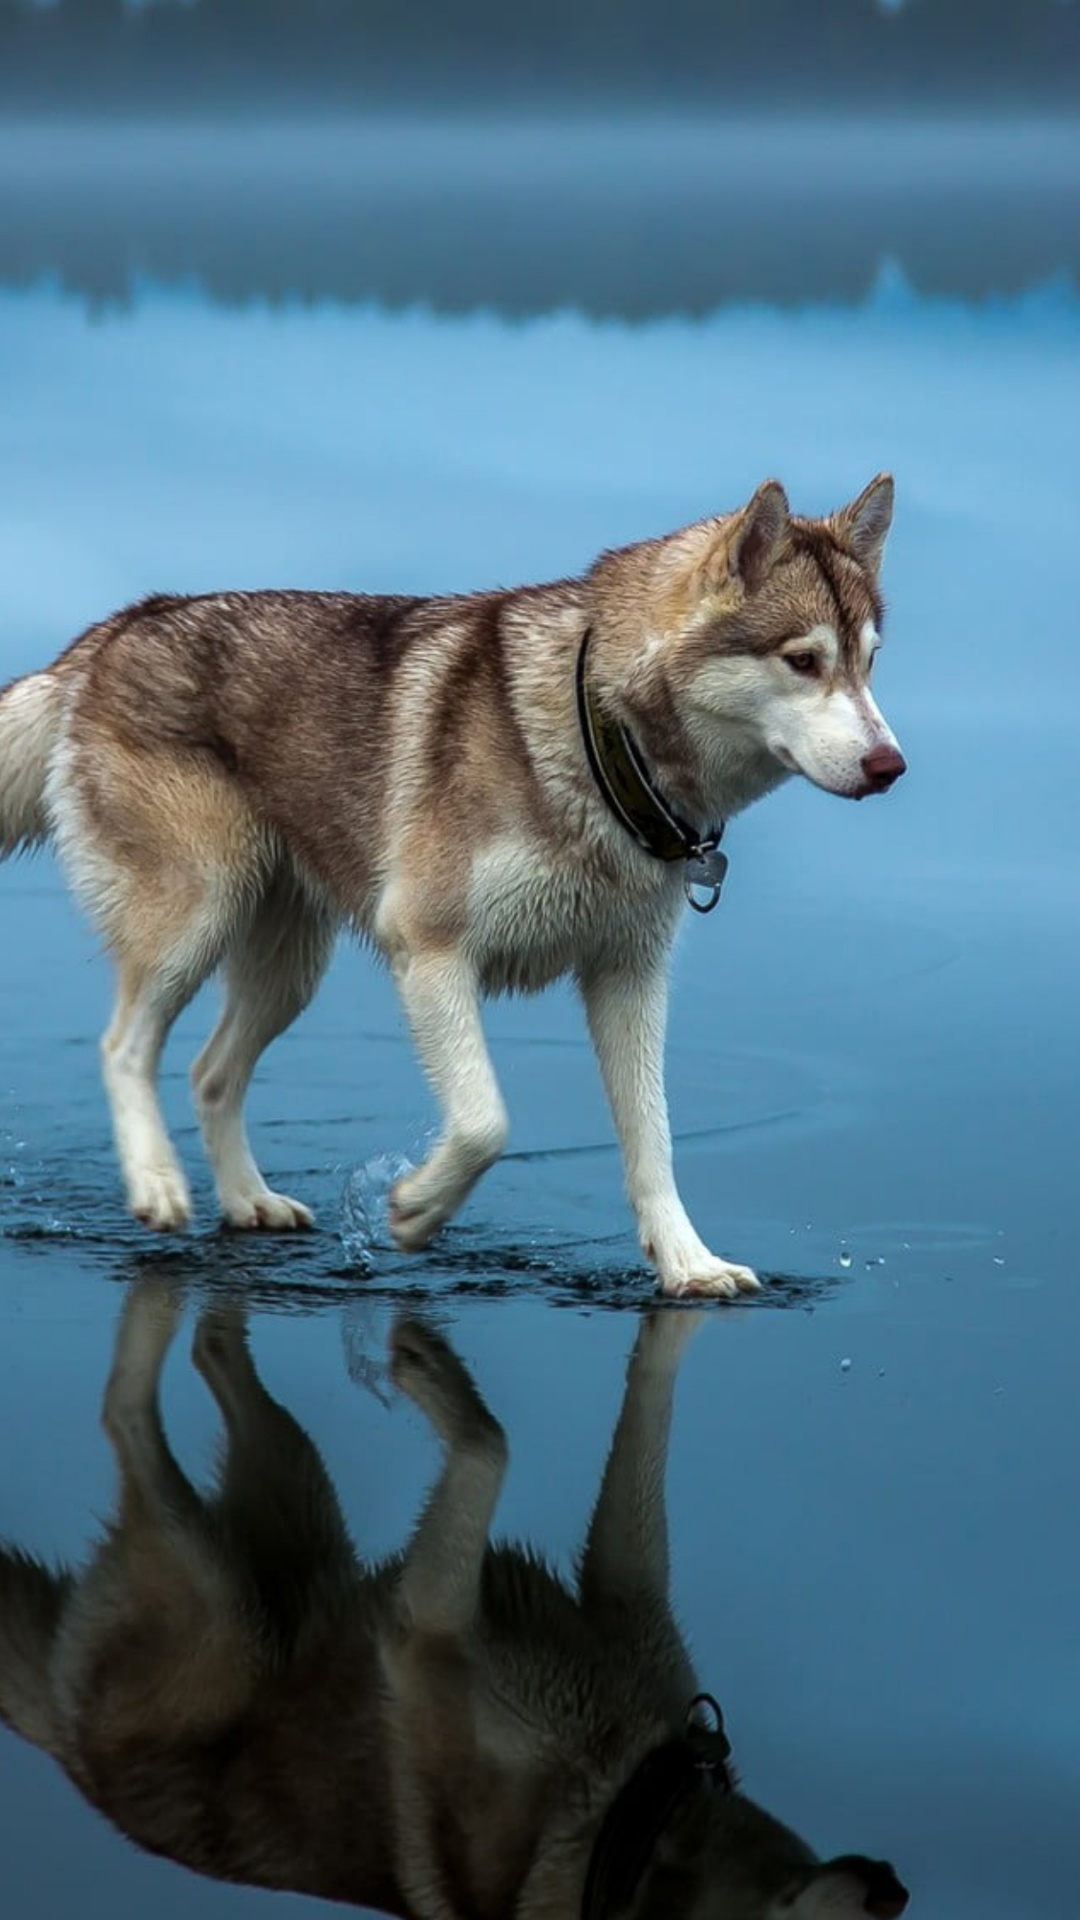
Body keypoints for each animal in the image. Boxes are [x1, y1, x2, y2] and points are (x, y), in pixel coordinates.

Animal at [0, 478, 899, 1290]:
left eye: (869, 664)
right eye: (803, 661)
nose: (891, 766)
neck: (601, 740)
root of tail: (118, 625)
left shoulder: (629, 977)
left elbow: (654, 1141)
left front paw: (688, 1265)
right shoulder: (430, 952)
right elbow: (484, 1123)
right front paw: (416, 1209)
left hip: (289, 968)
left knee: (210, 1074)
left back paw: (249, 1200)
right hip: (195, 919)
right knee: (124, 1047)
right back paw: (157, 1185)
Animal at [0, 1290, 907, 1920]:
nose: (895, 1890)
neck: (631, 1815)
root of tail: (65, 1753)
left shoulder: (614, 1592)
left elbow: (641, 1411)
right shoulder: (428, 1622)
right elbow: (492, 1444)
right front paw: (432, 1373)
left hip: (295, 1498)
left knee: (211, 1353)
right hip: (223, 1597)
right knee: (123, 1412)